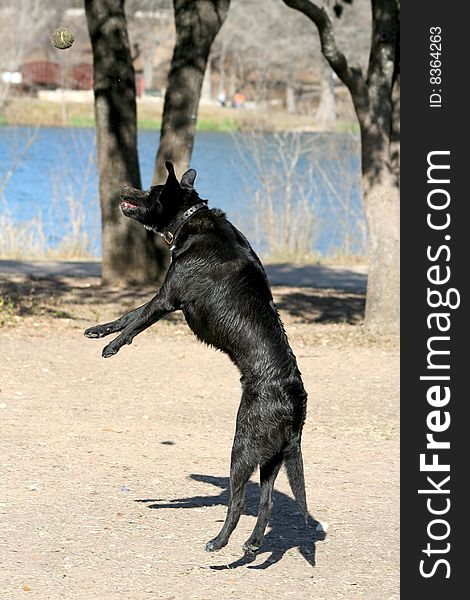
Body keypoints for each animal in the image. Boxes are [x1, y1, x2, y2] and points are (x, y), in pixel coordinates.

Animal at [84, 161, 308, 552]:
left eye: (151, 191)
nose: (125, 188)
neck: (191, 220)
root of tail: (295, 399)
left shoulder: (167, 297)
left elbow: (136, 321)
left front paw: (113, 346)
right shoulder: (164, 296)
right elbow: (126, 315)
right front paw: (99, 330)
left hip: (243, 444)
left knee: (238, 501)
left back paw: (218, 543)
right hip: (271, 457)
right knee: (264, 503)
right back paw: (251, 546)